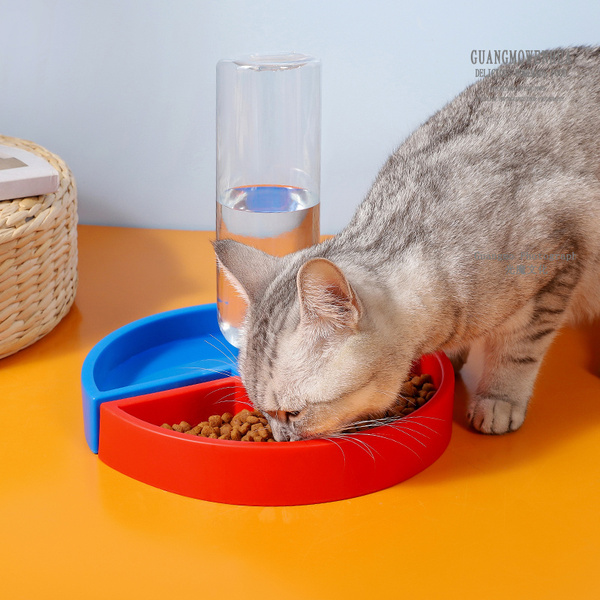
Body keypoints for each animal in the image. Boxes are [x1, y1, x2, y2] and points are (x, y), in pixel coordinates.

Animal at [214, 46, 600, 442]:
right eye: (261, 410)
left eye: (292, 412)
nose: (279, 438)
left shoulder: (558, 264)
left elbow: (517, 351)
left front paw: (498, 399)